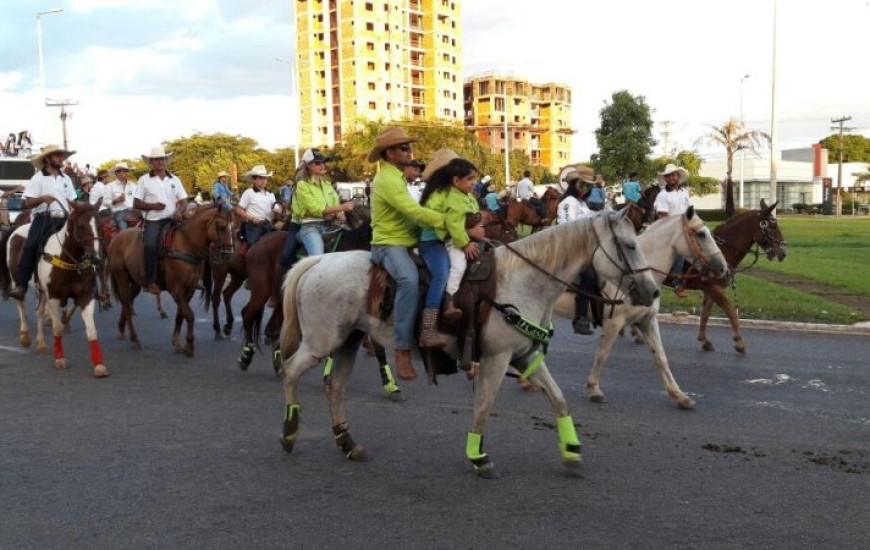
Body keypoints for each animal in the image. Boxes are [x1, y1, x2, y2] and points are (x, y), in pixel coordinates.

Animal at [106, 207, 235, 358]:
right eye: (221, 226)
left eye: (233, 226)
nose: (229, 254)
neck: (186, 246)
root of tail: (116, 238)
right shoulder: (176, 289)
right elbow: (189, 315)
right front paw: (189, 345)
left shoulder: (189, 289)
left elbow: (181, 314)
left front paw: (177, 342)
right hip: (122, 280)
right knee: (126, 304)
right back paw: (134, 339)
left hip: (135, 283)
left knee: (127, 303)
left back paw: (121, 329)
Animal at [276, 208, 656, 478]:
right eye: (630, 245)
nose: (652, 291)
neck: (522, 281)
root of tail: (318, 260)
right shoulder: (496, 358)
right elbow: (484, 406)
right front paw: (478, 455)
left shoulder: (525, 355)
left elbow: (558, 399)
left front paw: (572, 450)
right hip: (321, 341)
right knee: (291, 371)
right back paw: (291, 431)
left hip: (347, 341)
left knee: (335, 387)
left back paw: (347, 443)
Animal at [556, 209, 732, 412]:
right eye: (702, 234)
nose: (723, 267)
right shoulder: (614, 323)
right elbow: (602, 355)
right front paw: (594, 389)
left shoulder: (647, 321)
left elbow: (661, 358)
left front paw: (679, 396)